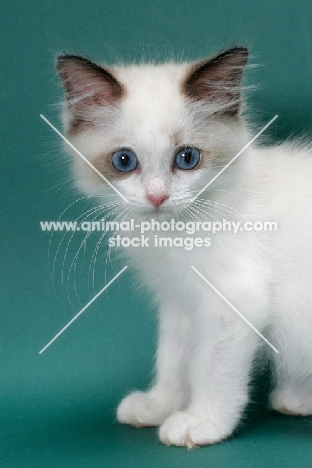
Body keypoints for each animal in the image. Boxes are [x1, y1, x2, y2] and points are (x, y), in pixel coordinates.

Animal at [56, 48, 312, 450]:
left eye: (187, 158)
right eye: (124, 161)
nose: (157, 197)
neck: (172, 235)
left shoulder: (233, 301)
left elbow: (212, 369)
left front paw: (202, 423)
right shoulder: (180, 302)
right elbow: (175, 360)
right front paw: (160, 406)